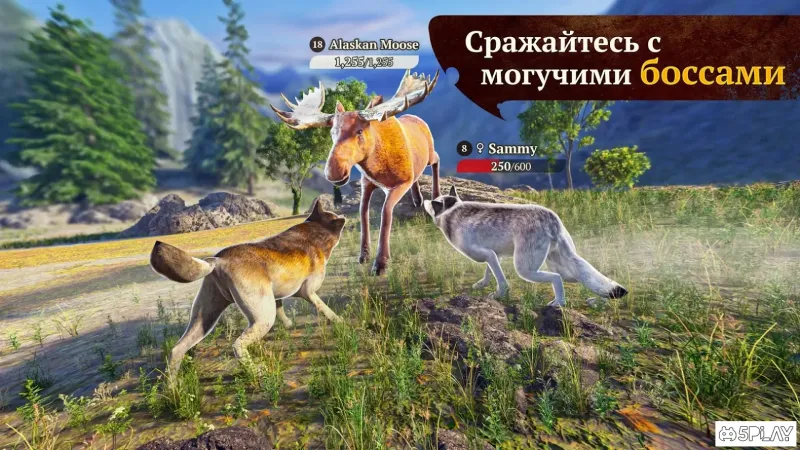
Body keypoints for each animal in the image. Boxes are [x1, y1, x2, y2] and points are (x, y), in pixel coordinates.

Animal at [149, 200, 346, 376]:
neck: (315, 230)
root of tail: (219, 260)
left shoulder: (276, 297)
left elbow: (282, 309)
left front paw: (289, 325)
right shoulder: (308, 292)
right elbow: (324, 308)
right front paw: (339, 320)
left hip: (205, 318)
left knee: (177, 350)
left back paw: (172, 387)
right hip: (262, 319)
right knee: (238, 345)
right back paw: (256, 371)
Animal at [423, 187, 627, 306]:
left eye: (433, 203)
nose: (423, 201)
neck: (452, 211)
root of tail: (553, 220)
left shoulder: (486, 254)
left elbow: (501, 280)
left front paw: (498, 294)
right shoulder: (495, 254)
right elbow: (489, 272)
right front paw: (481, 284)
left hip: (525, 269)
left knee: (556, 279)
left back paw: (559, 303)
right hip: (564, 267)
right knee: (590, 280)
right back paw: (595, 301)